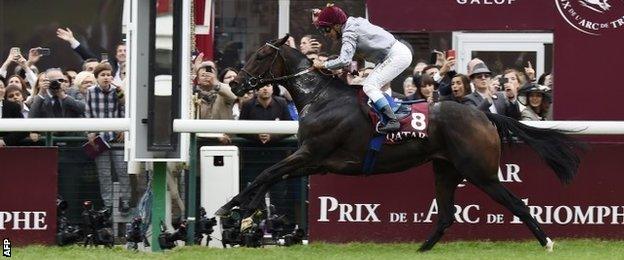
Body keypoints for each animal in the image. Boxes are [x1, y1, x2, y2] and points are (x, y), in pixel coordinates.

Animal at [219, 35, 580, 251]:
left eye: (261, 55)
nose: (236, 84)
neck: (320, 98)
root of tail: (484, 115)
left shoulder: (311, 152)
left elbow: (266, 173)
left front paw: (230, 210)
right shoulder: (316, 161)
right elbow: (269, 177)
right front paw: (240, 214)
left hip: (481, 172)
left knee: (517, 204)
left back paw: (547, 242)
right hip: (445, 169)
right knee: (446, 216)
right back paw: (421, 250)